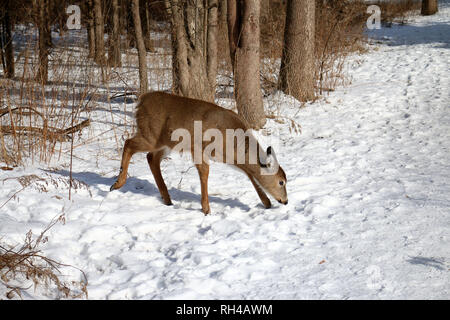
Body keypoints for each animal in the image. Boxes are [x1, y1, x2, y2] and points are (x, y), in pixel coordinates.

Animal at [110, 91, 290, 214]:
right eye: (281, 182)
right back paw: (117, 183)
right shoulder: (198, 148)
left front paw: (266, 202)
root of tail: (141, 101)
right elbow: (205, 173)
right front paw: (206, 208)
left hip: (165, 143)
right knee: (129, 143)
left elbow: (251, 175)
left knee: (151, 158)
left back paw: (167, 199)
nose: (286, 201)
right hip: (150, 135)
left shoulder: (231, 159)